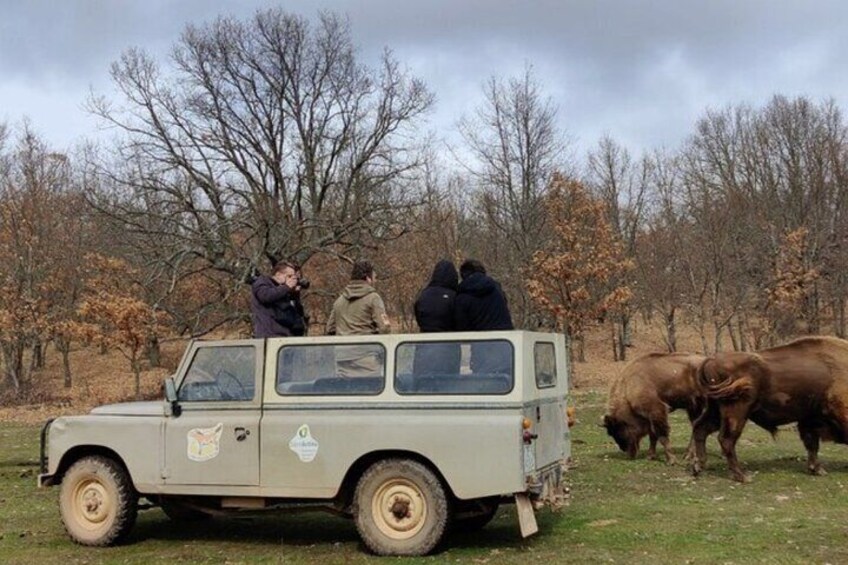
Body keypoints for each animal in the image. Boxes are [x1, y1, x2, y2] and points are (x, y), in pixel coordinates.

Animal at [692, 334, 848, 480]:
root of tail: (711, 360)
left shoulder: (808, 418)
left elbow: (812, 444)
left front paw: (817, 470)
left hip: (716, 410)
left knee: (701, 429)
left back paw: (698, 467)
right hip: (736, 411)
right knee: (726, 439)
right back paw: (742, 476)